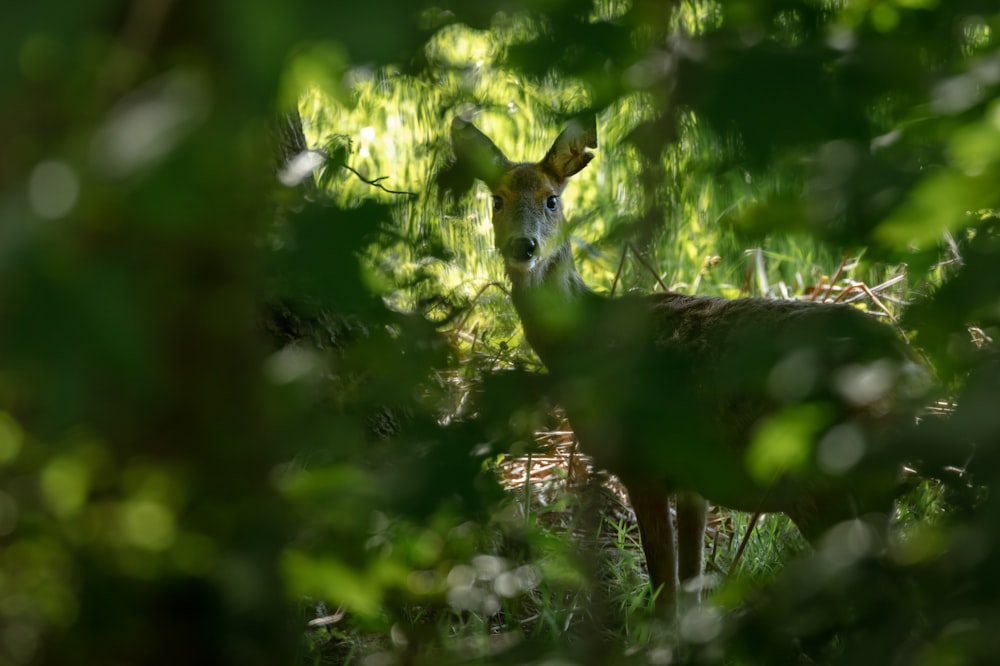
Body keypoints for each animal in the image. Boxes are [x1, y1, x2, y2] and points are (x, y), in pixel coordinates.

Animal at [454, 114, 920, 616]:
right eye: (496, 200)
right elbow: (692, 583)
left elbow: (665, 590)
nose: (524, 247)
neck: (582, 340)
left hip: (817, 475)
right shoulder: (692, 479)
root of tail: (902, 364)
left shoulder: (642, 464)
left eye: (551, 199)